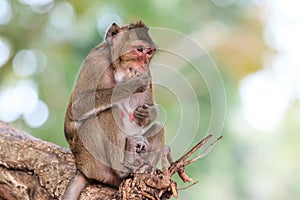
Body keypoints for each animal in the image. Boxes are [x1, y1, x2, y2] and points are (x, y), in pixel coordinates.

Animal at [63, 21, 164, 199]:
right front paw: (131, 85)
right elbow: (78, 106)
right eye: (139, 49)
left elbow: (149, 106)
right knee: (109, 112)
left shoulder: (148, 73)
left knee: (159, 127)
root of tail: (81, 168)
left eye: (150, 52)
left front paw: (145, 114)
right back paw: (123, 167)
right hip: (91, 156)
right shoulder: (96, 61)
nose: (143, 64)